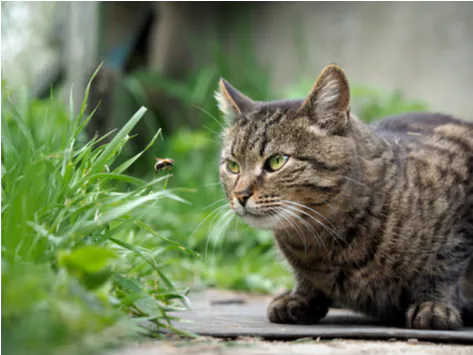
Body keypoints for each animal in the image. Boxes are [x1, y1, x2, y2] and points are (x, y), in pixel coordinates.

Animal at [217, 64, 472, 330]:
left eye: (276, 161)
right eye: (232, 166)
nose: (241, 195)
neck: (322, 239)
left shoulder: (460, 217)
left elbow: (444, 266)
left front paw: (434, 305)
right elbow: (304, 277)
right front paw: (301, 296)